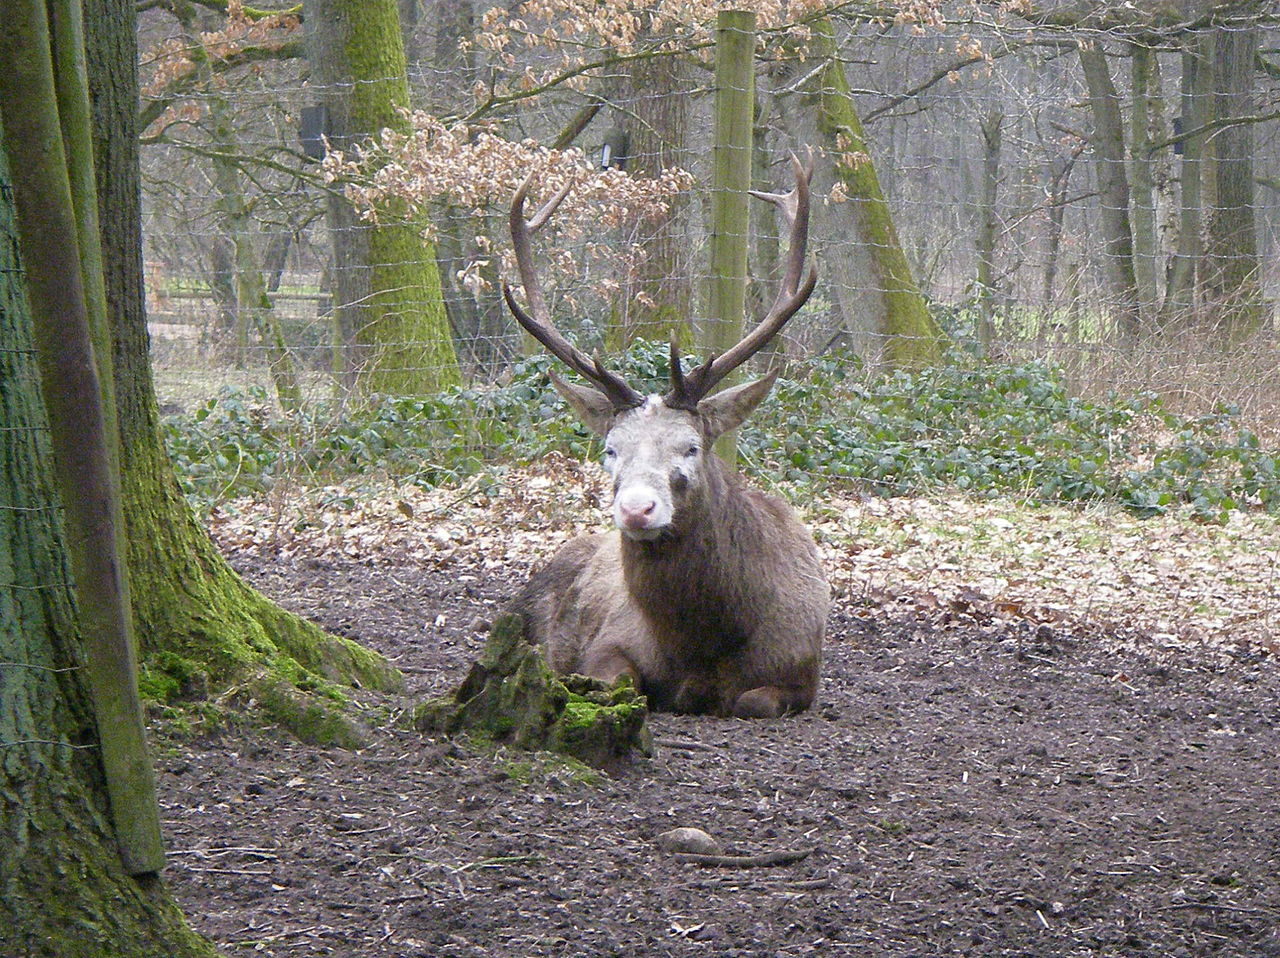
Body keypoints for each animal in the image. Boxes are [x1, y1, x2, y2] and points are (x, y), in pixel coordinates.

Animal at [499, 153, 829, 717]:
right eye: (610, 450)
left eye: (691, 447)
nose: (636, 509)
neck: (704, 643)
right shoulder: (609, 643)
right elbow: (617, 684)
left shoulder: (801, 670)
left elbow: (754, 702)